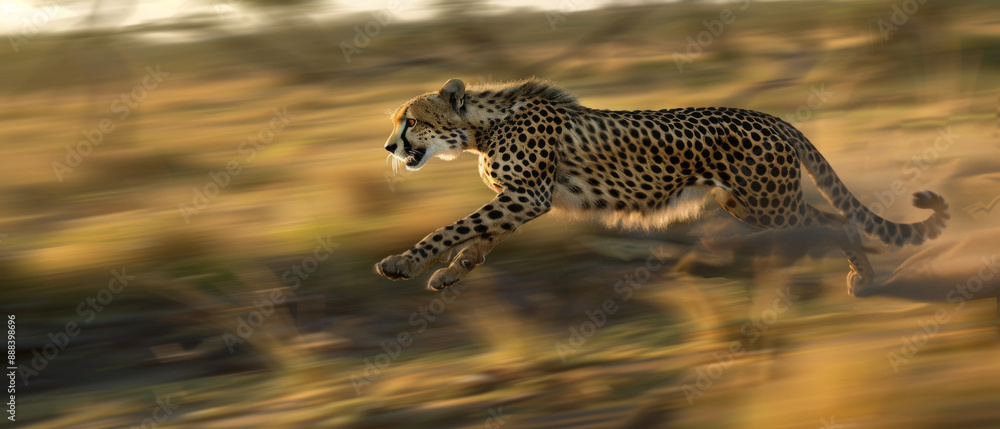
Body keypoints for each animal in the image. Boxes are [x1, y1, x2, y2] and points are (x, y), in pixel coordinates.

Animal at [375, 78, 949, 296]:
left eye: (410, 121)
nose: (387, 147)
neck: (480, 127)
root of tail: (771, 117)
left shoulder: (525, 196)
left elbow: (454, 227)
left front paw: (403, 263)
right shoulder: (522, 200)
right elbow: (479, 238)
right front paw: (451, 274)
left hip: (770, 204)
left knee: (835, 221)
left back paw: (863, 278)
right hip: (744, 202)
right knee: (831, 220)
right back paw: (862, 275)